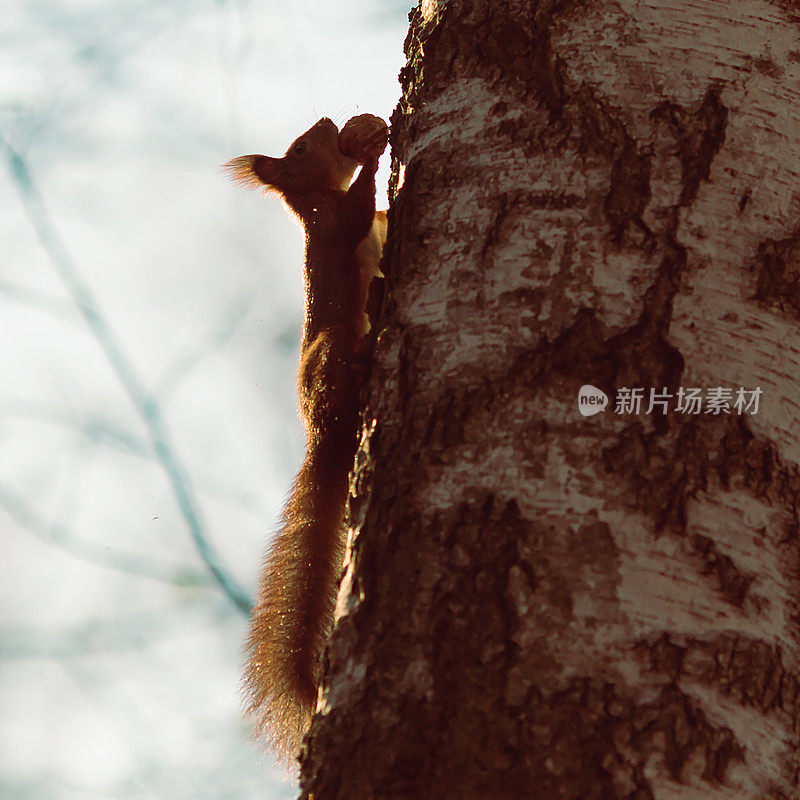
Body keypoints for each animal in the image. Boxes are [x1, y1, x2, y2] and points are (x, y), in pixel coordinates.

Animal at [223, 114, 390, 764]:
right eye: (300, 146)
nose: (327, 121)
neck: (313, 198)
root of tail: (325, 439)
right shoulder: (335, 222)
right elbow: (359, 211)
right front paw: (374, 157)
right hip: (331, 352)